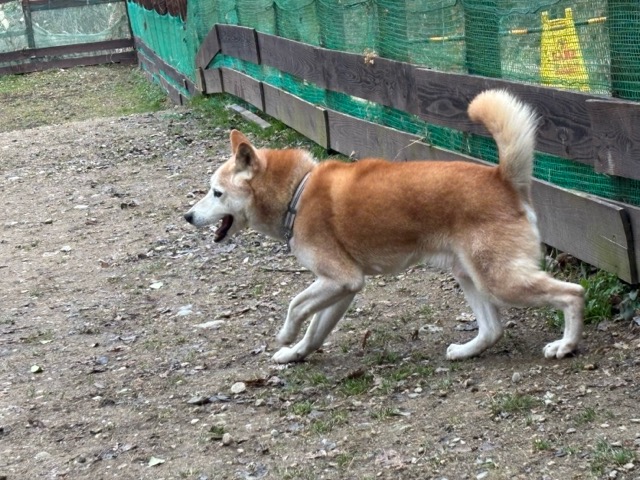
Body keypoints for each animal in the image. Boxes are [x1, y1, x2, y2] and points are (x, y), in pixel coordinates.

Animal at [184, 89, 585, 364]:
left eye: (216, 193)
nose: (187, 216)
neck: (298, 191)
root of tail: (502, 178)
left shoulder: (341, 279)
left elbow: (296, 306)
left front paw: (284, 336)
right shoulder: (342, 288)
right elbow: (315, 330)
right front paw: (295, 354)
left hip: (500, 280)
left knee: (573, 293)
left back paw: (565, 344)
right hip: (470, 275)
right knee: (493, 329)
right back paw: (465, 351)